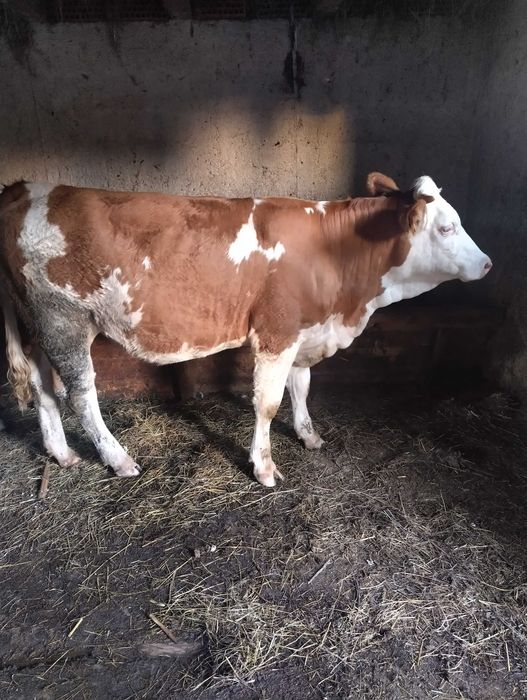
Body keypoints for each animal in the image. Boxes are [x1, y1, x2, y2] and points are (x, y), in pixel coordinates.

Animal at [0, 173, 491, 486]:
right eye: (447, 228)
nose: (488, 263)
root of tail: (24, 188)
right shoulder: (277, 330)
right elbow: (269, 402)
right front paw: (264, 468)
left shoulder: (304, 328)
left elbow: (301, 385)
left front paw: (309, 435)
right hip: (62, 318)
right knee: (81, 395)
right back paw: (118, 459)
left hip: (36, 324)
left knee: (43, 388)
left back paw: (61, 453)